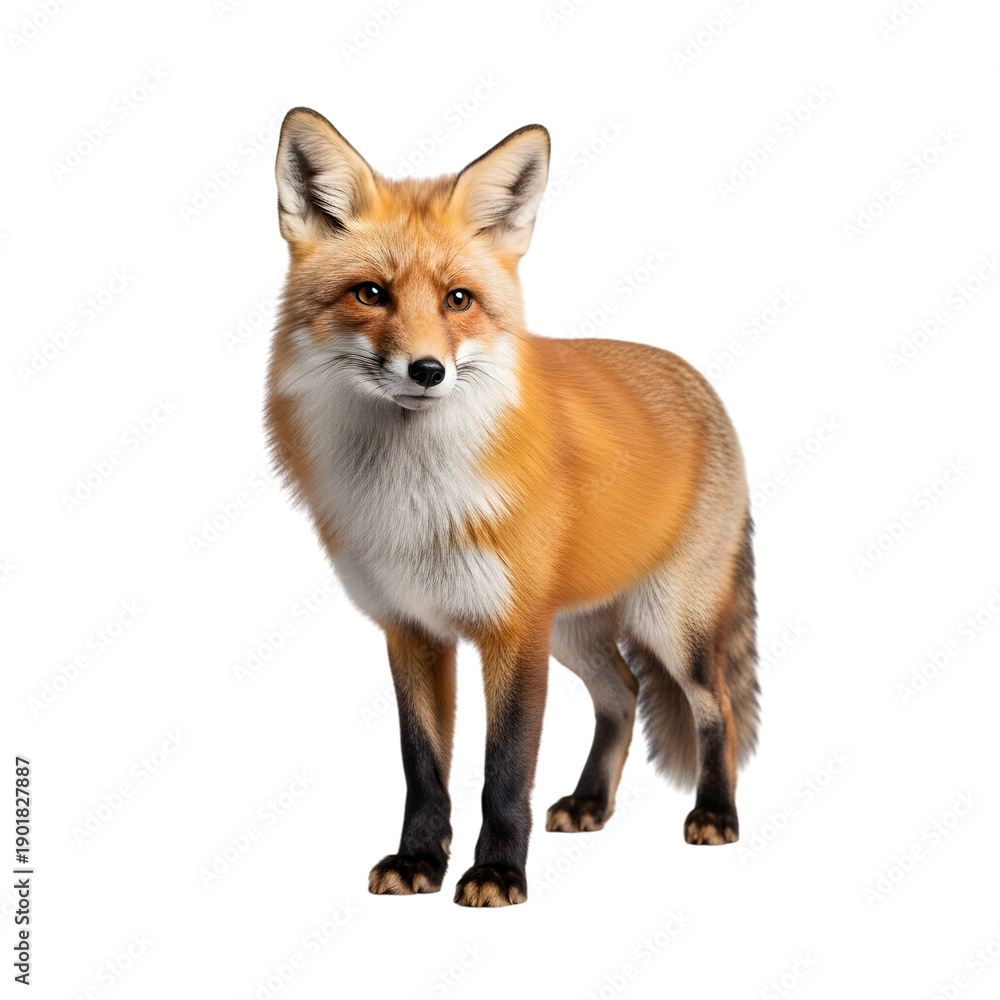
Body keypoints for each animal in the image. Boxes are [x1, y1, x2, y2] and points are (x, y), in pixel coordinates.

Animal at [264, 107, 760, 907]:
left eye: (458, 300)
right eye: (370, 294)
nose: (427, 370)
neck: (414, 500)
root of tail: (695, 376)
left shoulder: (513, 630)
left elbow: (504, 768)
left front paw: (497, 872)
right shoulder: (411, 629)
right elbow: (423, 766)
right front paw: (420, 861)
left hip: (669, 624)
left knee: (714, 706)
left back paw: (717, 813)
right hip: (578, 632)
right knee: (622, 694)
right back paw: (592, 803)